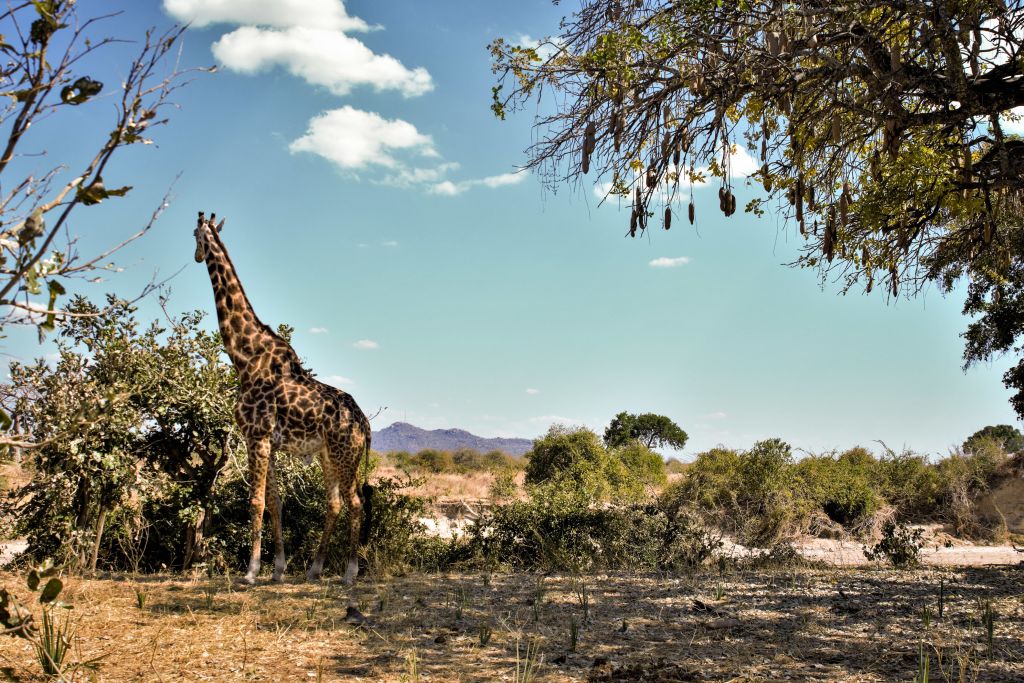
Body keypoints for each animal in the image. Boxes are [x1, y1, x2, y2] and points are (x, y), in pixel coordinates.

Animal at [193, 211, 372, 585]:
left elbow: (256, 502)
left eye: (194, 235)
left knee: (355, 503)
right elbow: (275, 503)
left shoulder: (256, 436)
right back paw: (314, 569)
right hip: (327, 455)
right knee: (334, 502)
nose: (198, 255)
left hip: (345, 455)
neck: (244, 357)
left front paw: (250, 572)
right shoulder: (267, 443)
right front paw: (277, 568)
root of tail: (364, 424)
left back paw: (349, 572)